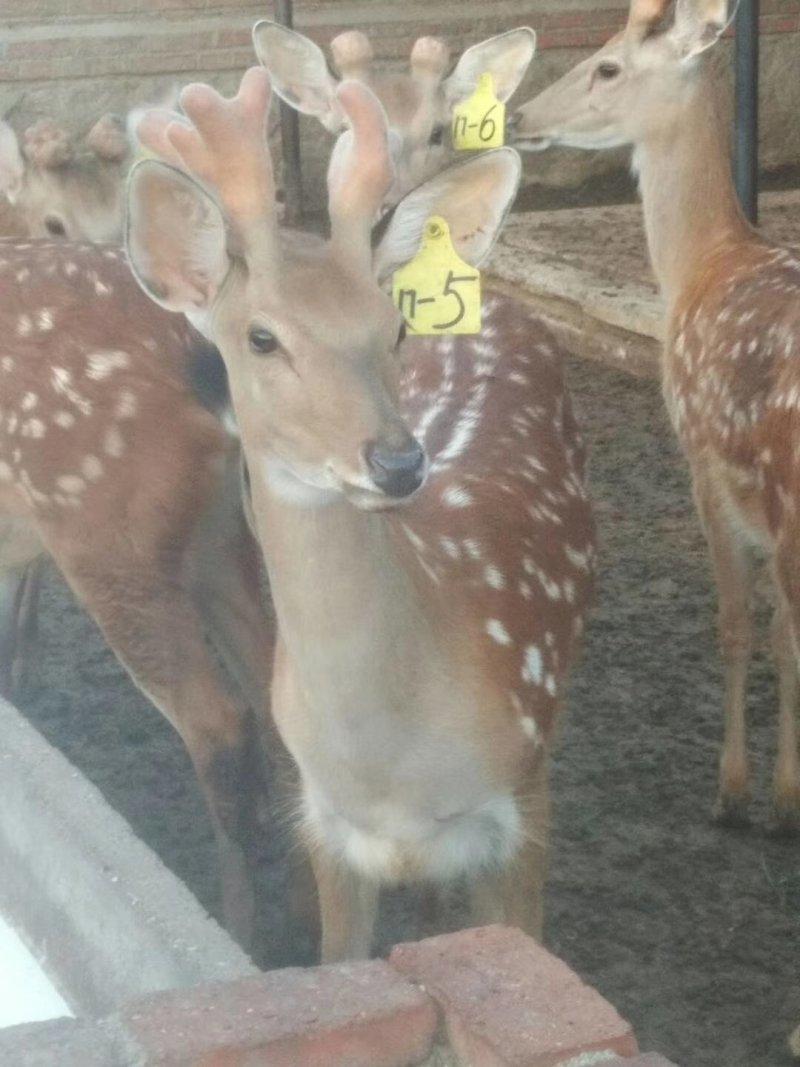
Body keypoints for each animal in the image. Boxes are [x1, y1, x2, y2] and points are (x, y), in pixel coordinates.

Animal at [125, 66, 595, 961]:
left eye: (394, 324)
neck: (392, 772)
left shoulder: (523, 800)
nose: (399, 461)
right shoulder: (327, 828)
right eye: (261, 337)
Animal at [512, 0, 800, 836]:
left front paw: (742, 794)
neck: (703, 263)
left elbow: (742, 628)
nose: (519, 115)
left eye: (608, 66)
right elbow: (779, 638)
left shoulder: (705, 461)